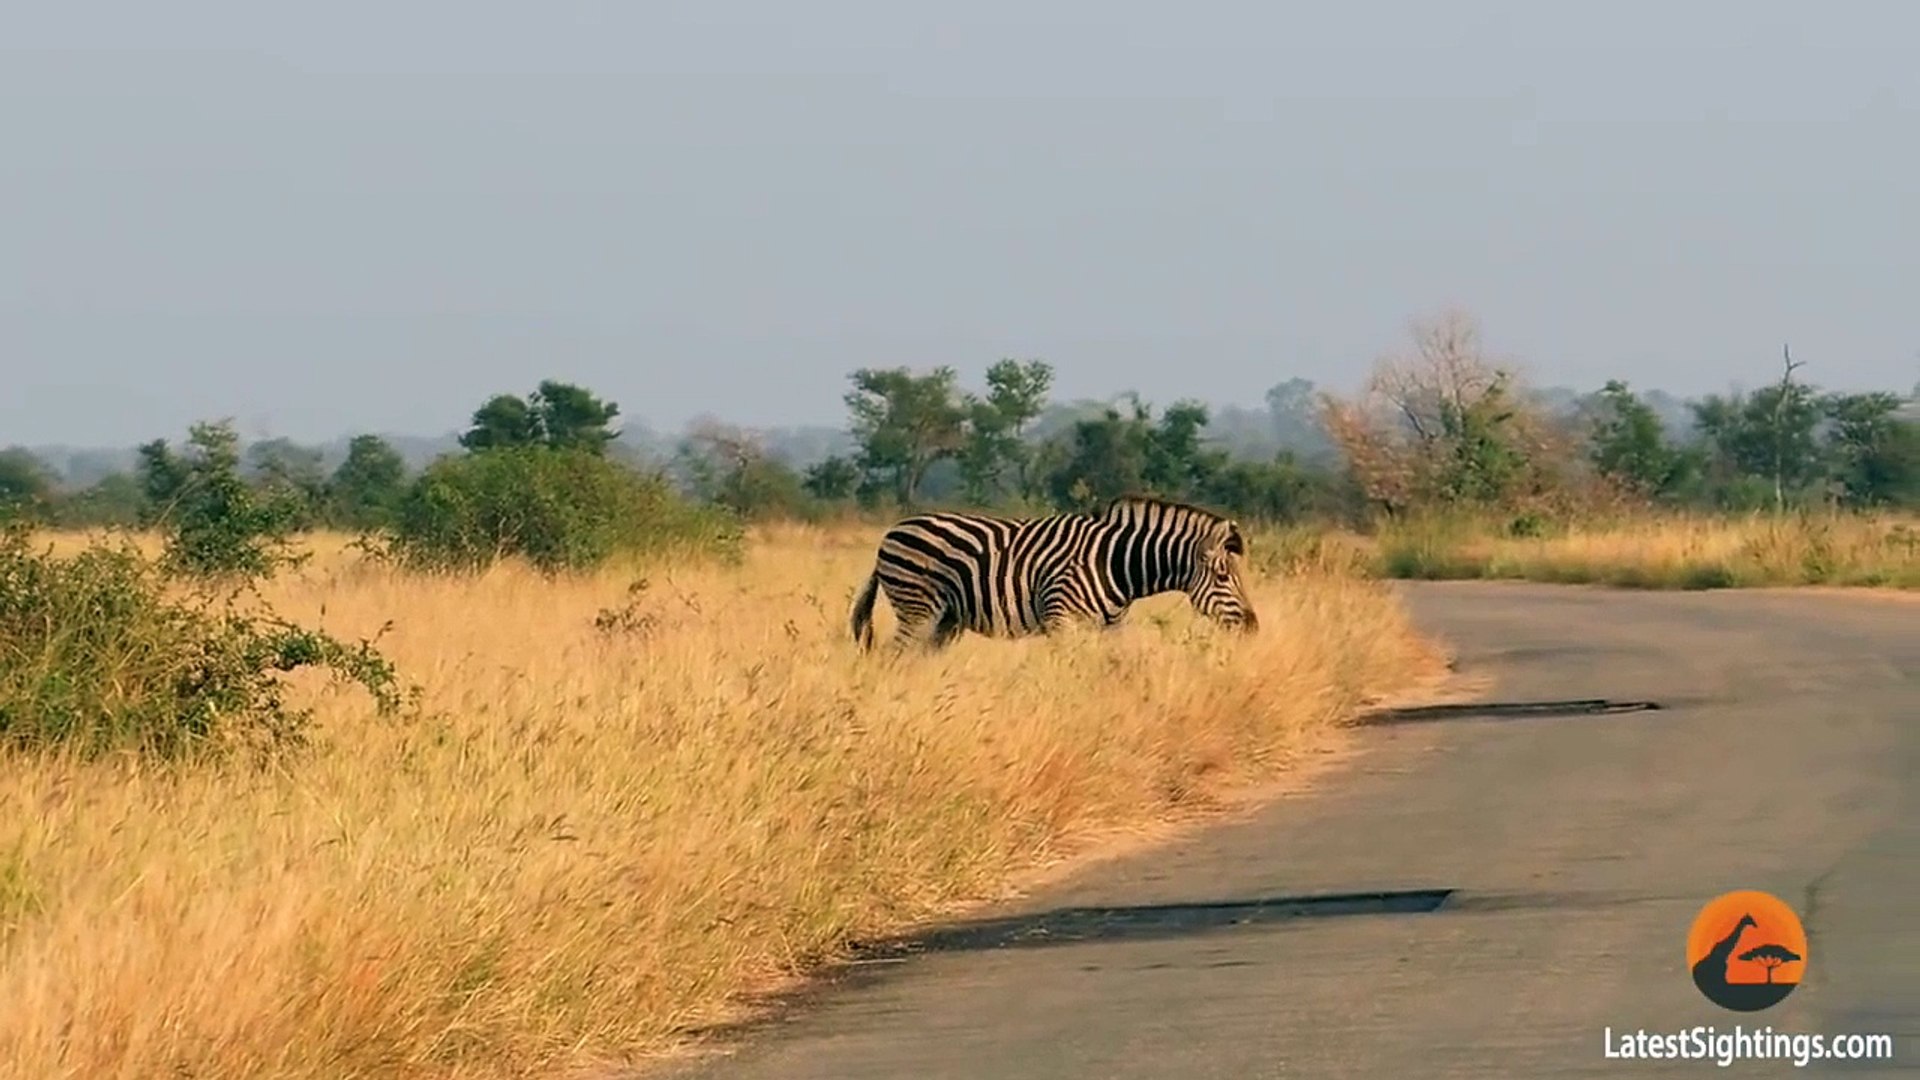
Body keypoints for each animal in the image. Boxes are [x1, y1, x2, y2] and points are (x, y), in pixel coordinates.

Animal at [848, 495, 1260, 652]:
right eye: (1223, 577)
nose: (1253, 627)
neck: (1116, 564)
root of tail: (891, 532)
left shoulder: (1110, 626)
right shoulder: (1061, 618)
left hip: (945, 620)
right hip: (918, 608)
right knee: (894, 656)